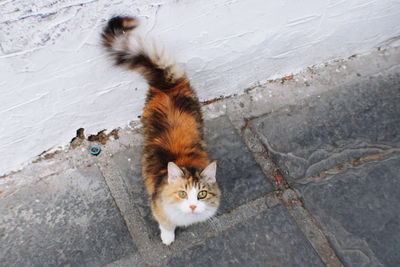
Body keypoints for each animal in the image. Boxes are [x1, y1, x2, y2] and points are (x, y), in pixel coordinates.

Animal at [101, 16, 220, 246]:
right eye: (182, 194)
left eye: (201, 195)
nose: (193, 206)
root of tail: (168, 85)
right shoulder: (158, 208)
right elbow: (166, 224)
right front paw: (168, 237)